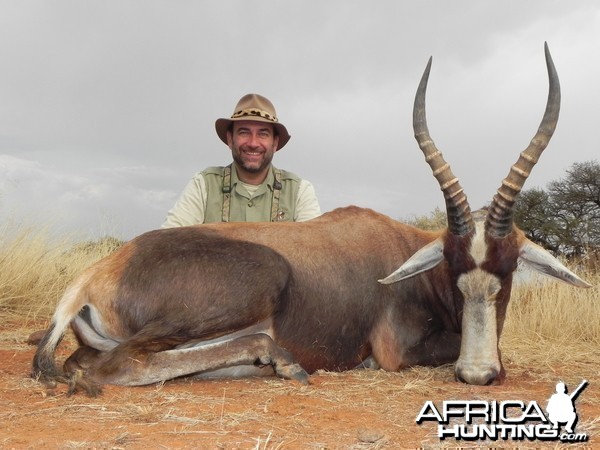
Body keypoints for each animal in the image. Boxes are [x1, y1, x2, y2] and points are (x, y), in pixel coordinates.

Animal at [34, 42, 592, 394]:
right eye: (453, 270)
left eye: (508, 269)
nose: (477, 376)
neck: (399, 249)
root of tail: (101, 270)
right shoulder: (397, 351)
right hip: (255, 283)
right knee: (120, 363)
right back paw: (280, 362)